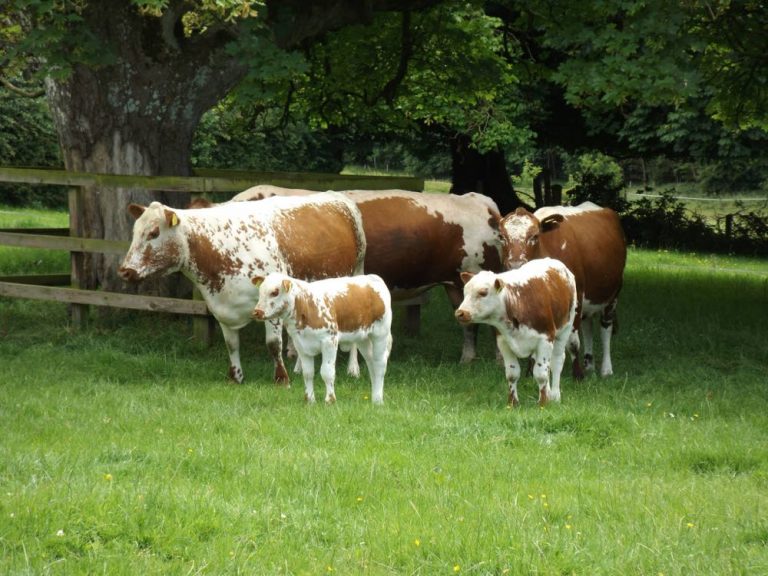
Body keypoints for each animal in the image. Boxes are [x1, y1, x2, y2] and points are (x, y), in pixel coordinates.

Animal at [118, 193, 367, 385]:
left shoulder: (271, 307)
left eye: (153, 233)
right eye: (134, 232)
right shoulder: (222, 307)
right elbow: (232, 344)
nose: (125, 271)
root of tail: (337, 196)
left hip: (356, 273)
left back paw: (353, 369)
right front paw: (236, 376)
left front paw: (281, 378)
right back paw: (299, 365)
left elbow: (273, 344)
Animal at [251, 272, 392, 405]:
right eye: (260, 291)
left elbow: (327, 372)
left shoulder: (329, 341)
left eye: (274, 292)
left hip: (380, 334)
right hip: (363, 338)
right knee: (371, 364)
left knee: (380, 364)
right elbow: (308, 373)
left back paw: (378, 401)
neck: (306, 305)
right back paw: (375, 397)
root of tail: (371, 277)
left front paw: (330, 400)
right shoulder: (300, 344)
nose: (257, 312)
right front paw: (310, 400)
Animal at [455, 258, 579, 407]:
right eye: (465, 292)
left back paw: (555, 396)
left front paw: (543, 403)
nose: (460, 313)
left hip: (565, 328)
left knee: (556, 361)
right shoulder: (503, 342)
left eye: (483, 292)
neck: (517, 302)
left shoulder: (545, 339)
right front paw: (513, 403)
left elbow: (541, 375)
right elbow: (512, 374)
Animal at [498, 202, 626, 378]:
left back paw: (606, 369)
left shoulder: (577, 299)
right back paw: (589, 364)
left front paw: (578, 374)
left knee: (605, 328)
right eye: (501, 237)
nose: (515, 265)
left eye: (535, 236)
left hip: (612, 294)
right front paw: (530, 372)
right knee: (588, 327)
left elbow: (573, 342)